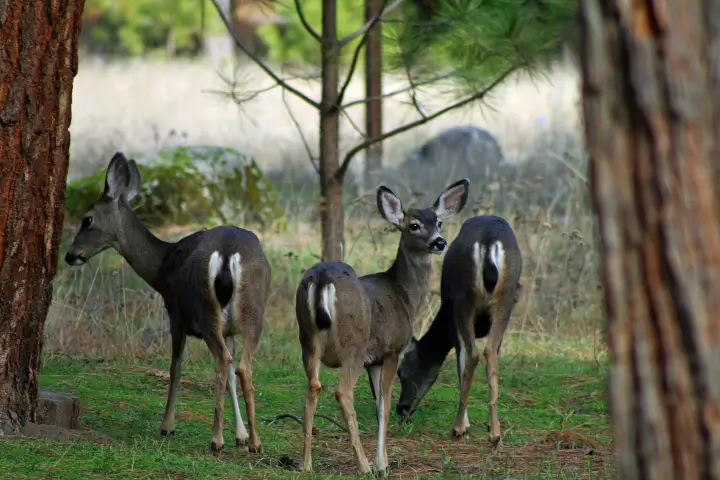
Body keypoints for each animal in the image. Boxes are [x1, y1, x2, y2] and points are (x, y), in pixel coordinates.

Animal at [64, 152, 272, 456]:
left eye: (87, 219)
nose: (70, 255)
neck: (162, 268)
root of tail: (228, 253)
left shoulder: (175, 314)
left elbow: (176, 367)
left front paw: (167, 425)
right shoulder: (230, 329)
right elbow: (232, 376)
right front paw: (241, 435)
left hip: (204, 309)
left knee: (222, 360)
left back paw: (216, 439)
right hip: (254, 309)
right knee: (242, 365)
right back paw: (256, 442)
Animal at [294, 179, 470, 476]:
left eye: (438, 222)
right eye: (414, 225)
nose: (439, 242)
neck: (404, 296)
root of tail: (322, 279)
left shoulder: (372, 361)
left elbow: (378, 403)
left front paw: (383, 461)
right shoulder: (391, 351)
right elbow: (384, 406)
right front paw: (381, 465)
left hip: (307, 341)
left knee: (313, 387)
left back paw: (306, 464)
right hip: (352, 344)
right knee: (343, 392)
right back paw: (362, 465)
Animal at [394, 216, 524, 448]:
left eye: (401, 372)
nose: (401, 409)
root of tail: (490, 242)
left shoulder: (452, 317)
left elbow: (460, 363)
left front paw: (465, 427)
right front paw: (484, 426)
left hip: (464, 298)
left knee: (472, 355)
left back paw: (457, 429)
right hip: (506, 297)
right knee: (490, 353)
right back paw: (495, 434)